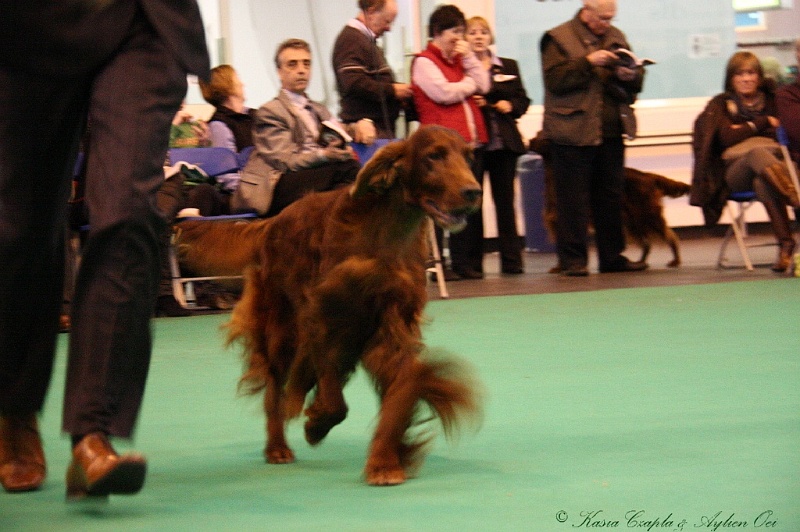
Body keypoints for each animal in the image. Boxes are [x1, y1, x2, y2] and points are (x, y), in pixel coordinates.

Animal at [178, 125, 484, 486]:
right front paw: (316, 423)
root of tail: (272, 222)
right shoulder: (325, 318)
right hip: (283, 329)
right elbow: (335, 398)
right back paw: (277, 446)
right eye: (433, 156)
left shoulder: (394, 323)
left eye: (468, 157)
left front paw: (385, 461)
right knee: (275, 388)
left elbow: (402, 389)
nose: (473, 191)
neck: (386, 234)